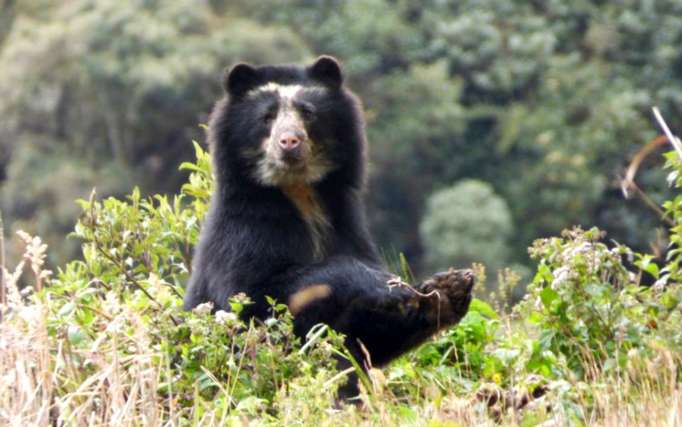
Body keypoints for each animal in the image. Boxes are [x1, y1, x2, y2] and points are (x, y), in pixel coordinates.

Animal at [183, 55, 475, 398]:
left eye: (307, 112)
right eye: (267, 117)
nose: (289, 142)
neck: (299, 192)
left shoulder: (346, 224)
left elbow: (368, 338)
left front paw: (447, 288)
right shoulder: (243, 233)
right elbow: (253, 302)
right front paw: (386, 284)